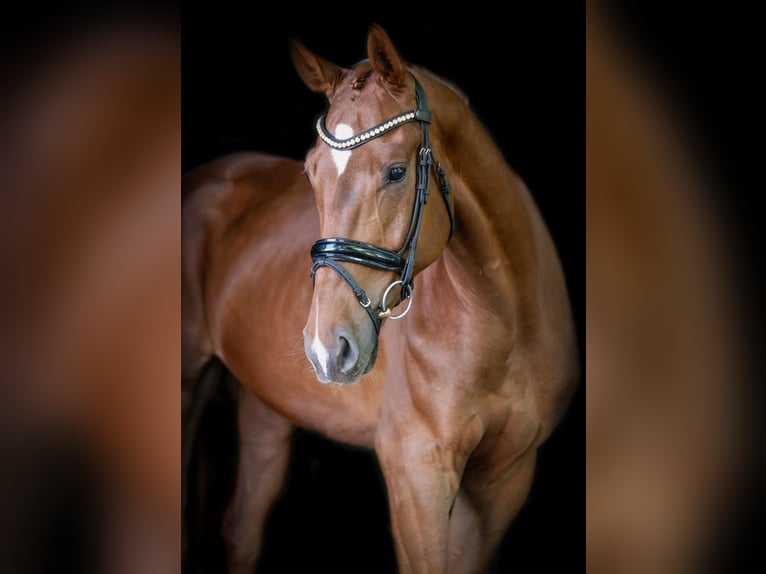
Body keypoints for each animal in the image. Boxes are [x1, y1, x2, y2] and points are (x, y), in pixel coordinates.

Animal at [182, 23, 579, 573]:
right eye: (311, 172)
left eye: (395, 171)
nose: (327, 347)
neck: (503, 320)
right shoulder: (417, 476)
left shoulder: (505, 476)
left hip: (266, 405)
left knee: (240, 529)